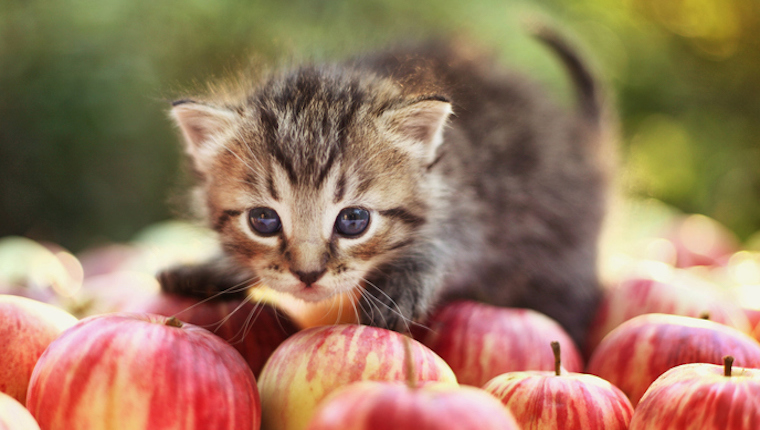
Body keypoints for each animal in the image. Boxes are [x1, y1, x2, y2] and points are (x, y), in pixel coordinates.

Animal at [160, 26, 612, 346]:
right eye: (263, 221)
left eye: (353, 221)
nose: (308, 275)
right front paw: (211, 268)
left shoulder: (472, 210)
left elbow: (444, 247)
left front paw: (398, 288)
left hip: (559, 260)